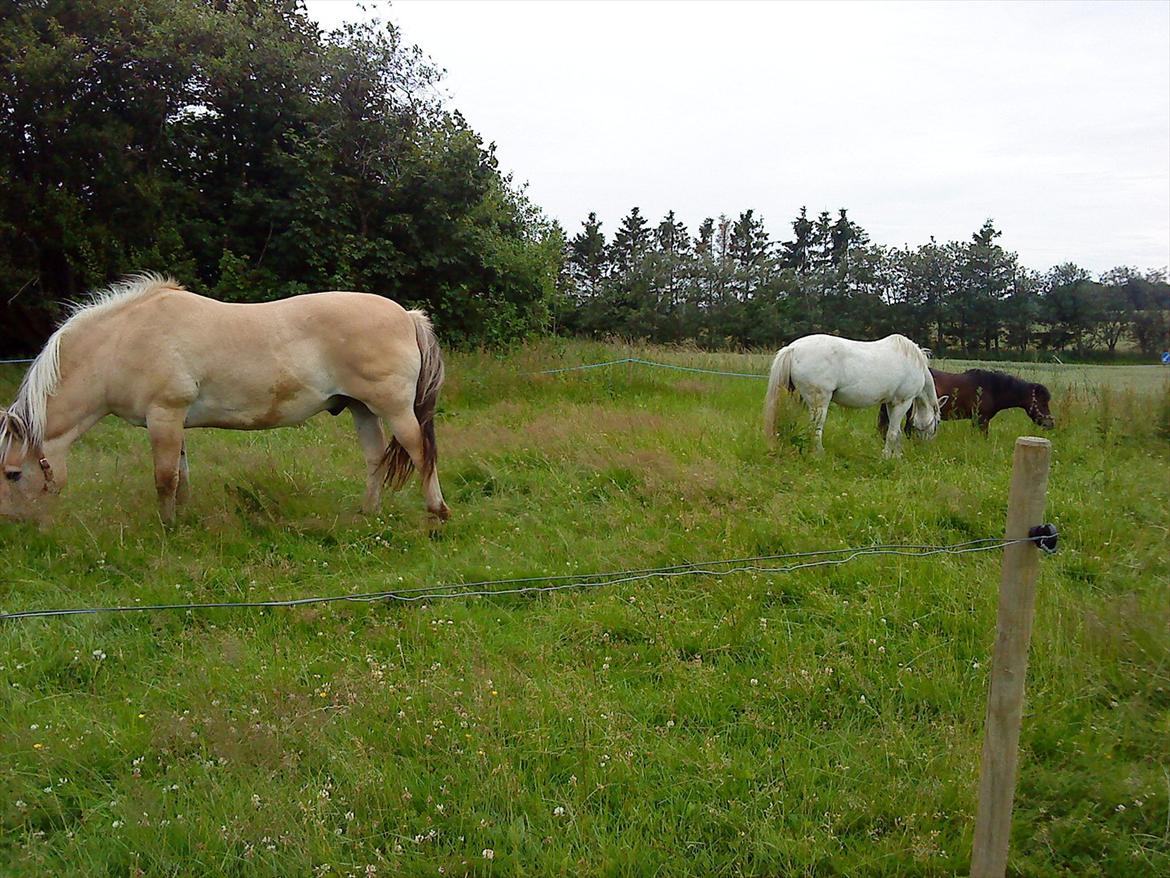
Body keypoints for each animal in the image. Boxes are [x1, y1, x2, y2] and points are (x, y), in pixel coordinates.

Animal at [0, 274, 450, 525]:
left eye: (12, 474)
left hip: (394, 409)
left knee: (420, 453)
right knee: (374, 458)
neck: (123, 343)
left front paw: (167, 527)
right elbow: (180, 476)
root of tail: (406, 316)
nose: (14, 523)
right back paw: (368, 512)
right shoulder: (172, 420)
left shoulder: (164, 415)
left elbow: (165, 478)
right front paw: (182, 519)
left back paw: (438, 512)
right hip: (361, 409)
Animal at [763, 333, 945, 458]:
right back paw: (819, 454)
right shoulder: (903, 402)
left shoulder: (890, 403)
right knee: (816, 428)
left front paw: (897, 456)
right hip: (819, 402)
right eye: (937, 423)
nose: (924, 447)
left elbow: (895, 432)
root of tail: (792, 348)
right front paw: (887, 457)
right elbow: (892, 433)